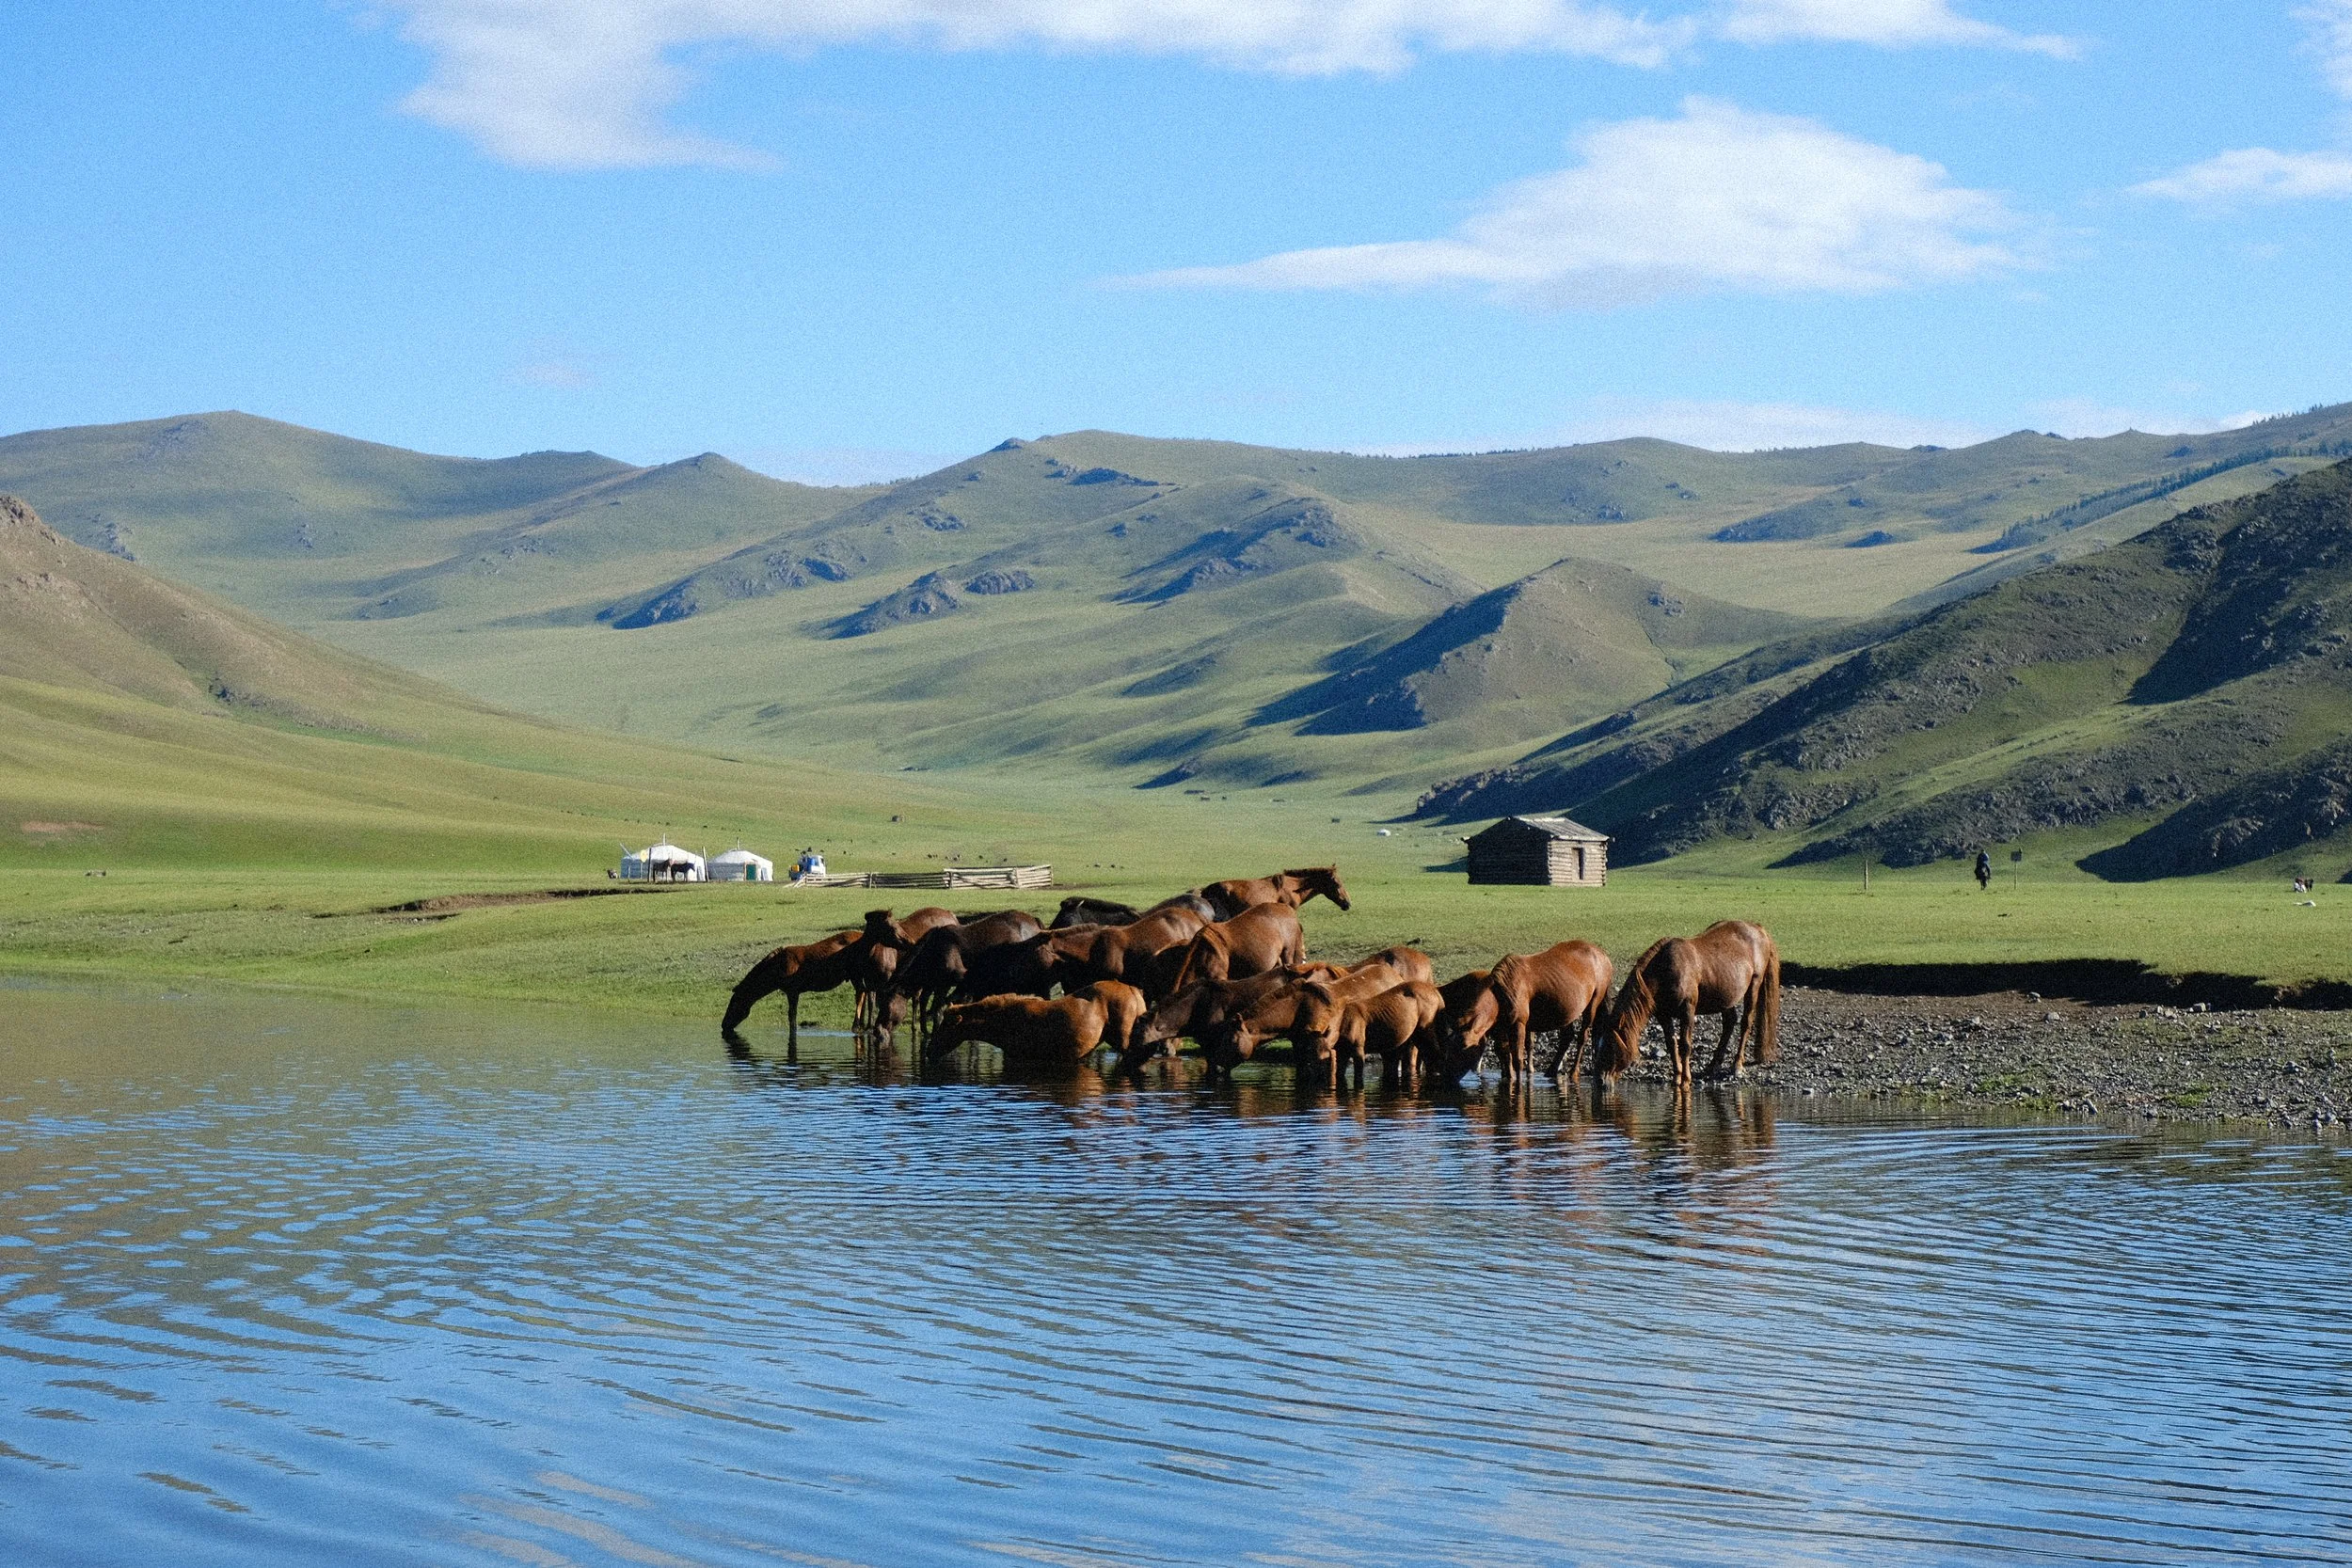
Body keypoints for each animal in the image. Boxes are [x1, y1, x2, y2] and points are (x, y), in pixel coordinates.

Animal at [1430, 942, 1613, 1087]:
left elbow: (1517, 1059)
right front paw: (1508, 1079)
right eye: (1448, 1047)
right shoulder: (1500, 1028)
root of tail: (1603, 954)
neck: (1500, 994)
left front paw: (1518, 1085)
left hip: (1593, 1002)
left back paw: (1573, 1071)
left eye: (1463, 1048)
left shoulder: (1519, 1024)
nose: (1446, 1077)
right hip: (1568, 1009)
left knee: (1583, 1036)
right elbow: (1504, 1055)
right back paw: (1551, 1070)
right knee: (1567, 1037)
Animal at [1600, 921, 1781, 1087]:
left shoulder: (1688, 1010)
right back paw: (1713, 1064)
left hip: (1754, 985)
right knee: (1729, 1022)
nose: (1601, 1081)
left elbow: (1685, 1045)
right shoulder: (1663, 1015)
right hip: (1725, 996)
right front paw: (1676, 1076)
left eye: (1610, 1047)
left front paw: (1686, 1079)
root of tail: (1757, 928)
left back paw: (1737, 1065)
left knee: (1745, 1024)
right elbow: (1671, 1044)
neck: (1666, 971)